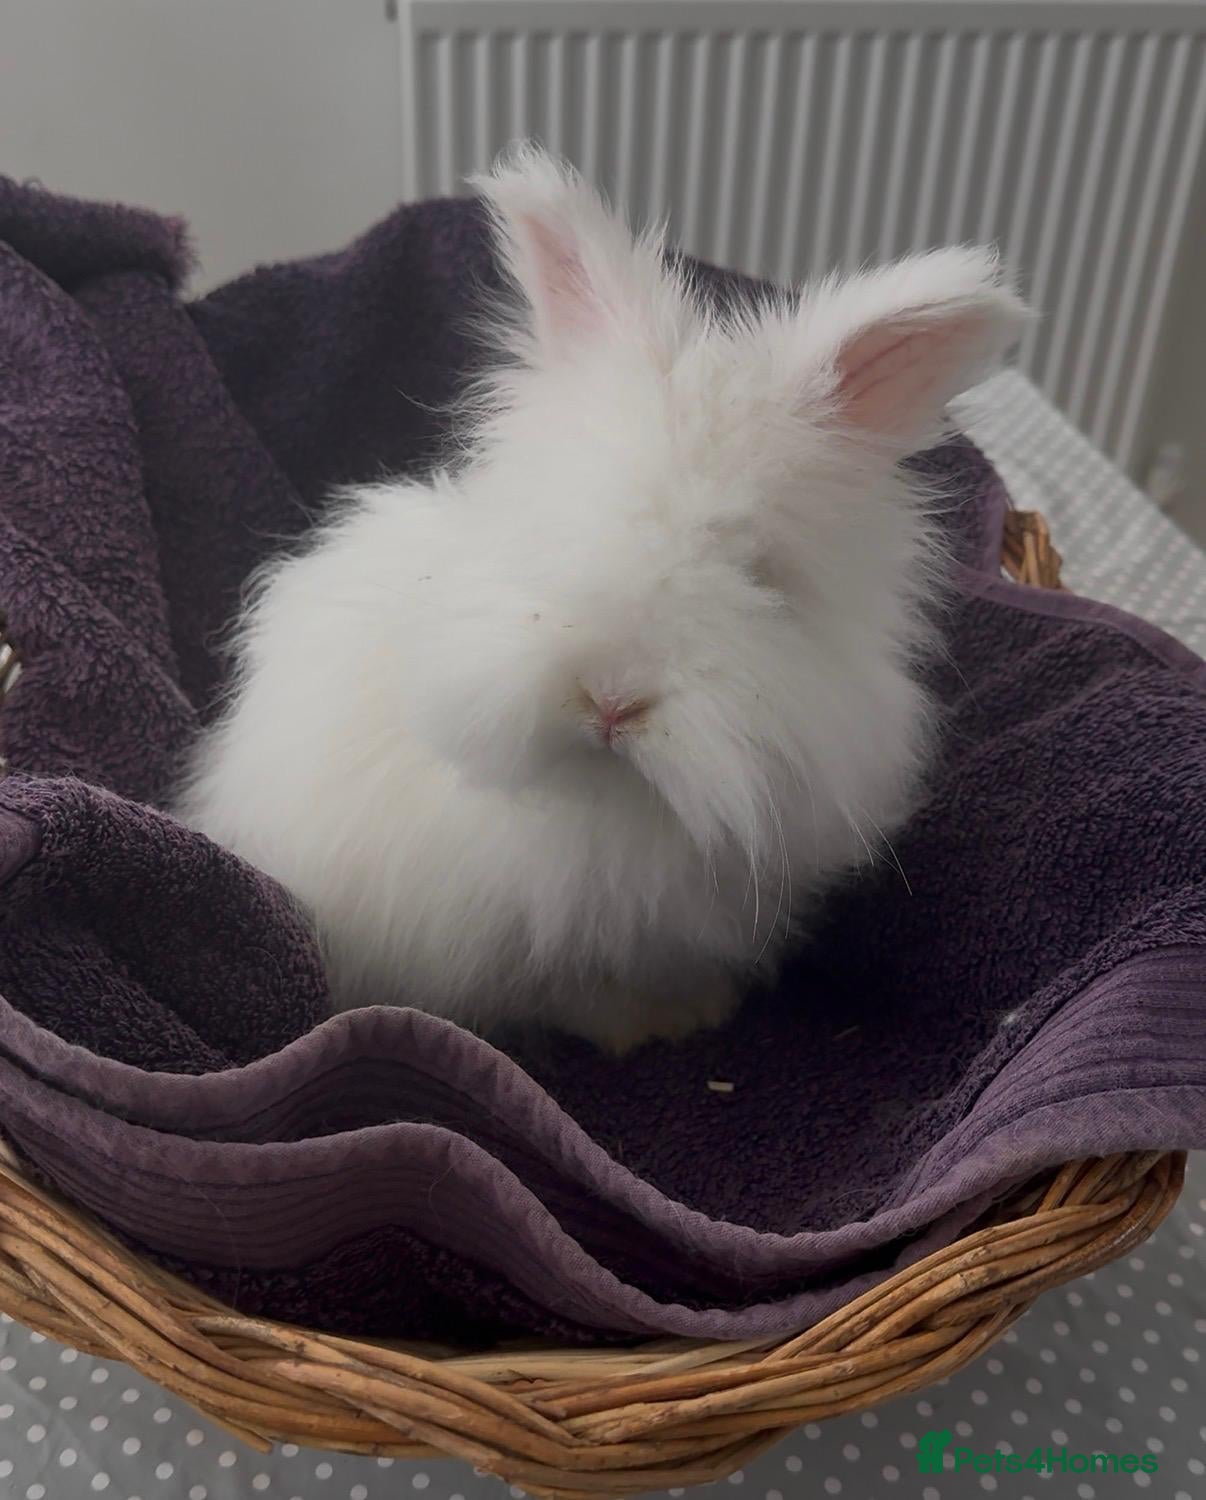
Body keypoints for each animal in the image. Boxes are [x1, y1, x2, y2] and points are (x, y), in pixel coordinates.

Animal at [177, 145, 1029, 1054]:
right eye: (559, 528)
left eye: (760, 575)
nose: (612, 702)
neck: (617, 798)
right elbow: (574, 992)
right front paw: (649, 1026)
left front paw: (700, 1007)